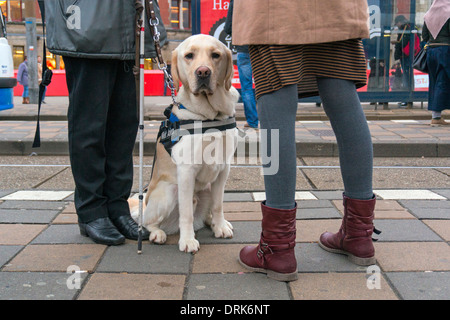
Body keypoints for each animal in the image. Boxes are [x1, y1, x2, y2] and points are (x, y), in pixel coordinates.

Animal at [128, 34, 239, 252]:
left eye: (216, 55)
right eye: (189, 56)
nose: (203, 72)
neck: (209, 116)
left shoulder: (224, 169)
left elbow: (218, 204)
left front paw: (220, 226)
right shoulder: (187, 171)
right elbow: (186, 213)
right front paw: (187, 240)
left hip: (206, 188)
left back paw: (213, 223)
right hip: (169, 191)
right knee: (147, 222)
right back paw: (157, 234)